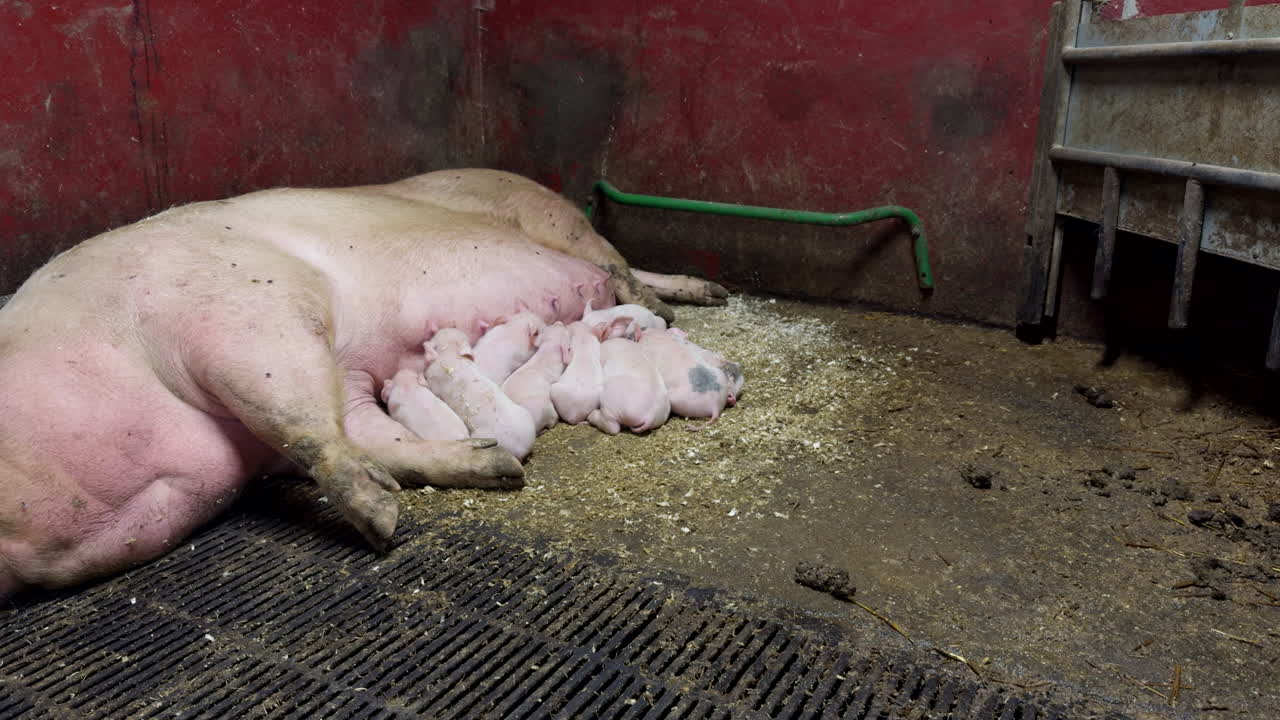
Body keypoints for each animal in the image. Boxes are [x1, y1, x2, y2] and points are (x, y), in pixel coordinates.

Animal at [423, 329, 537, 462]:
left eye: (435, 337)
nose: (440, 329)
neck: (451, 355)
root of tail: (521, 447)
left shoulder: (435, 383)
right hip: (525, 413)